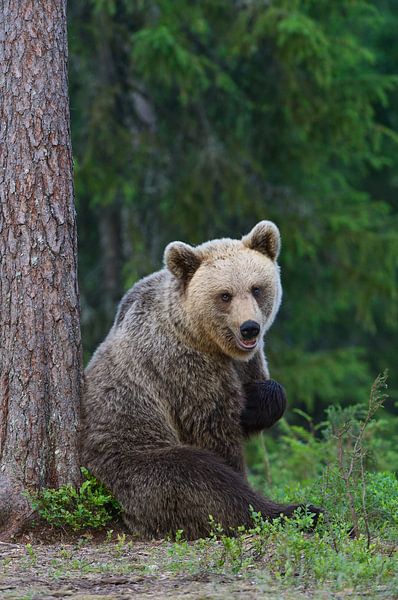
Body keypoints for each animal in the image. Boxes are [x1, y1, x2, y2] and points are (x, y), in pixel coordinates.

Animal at [80, 221, 318, 540]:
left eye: (256, 288)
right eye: (225, 295)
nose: (249, 328)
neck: (203, 337)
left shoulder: (247, 362)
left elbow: (261, 394)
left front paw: (259, 402)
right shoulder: (183, 369)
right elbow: (214, 431)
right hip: (130, 459)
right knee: (201, 480)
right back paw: (296, 511)